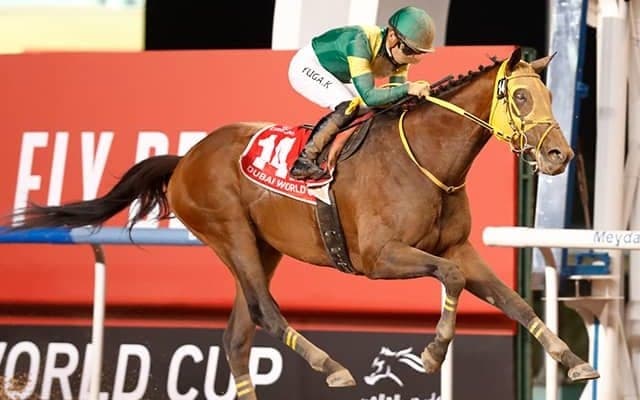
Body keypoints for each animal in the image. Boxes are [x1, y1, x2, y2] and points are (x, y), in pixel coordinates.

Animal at [8, 47, 598, 399]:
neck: (426, 160)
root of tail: (186, 158)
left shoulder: (459, 248)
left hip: (259, 249)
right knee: (264, 315)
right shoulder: (380, 258)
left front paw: (574, 362)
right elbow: (450, 281)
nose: (560, 156)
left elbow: (515, 303)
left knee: (236, 337)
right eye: (520, 96)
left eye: (550, 94)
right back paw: (330, 365)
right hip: (230, 234)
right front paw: (431, 354)